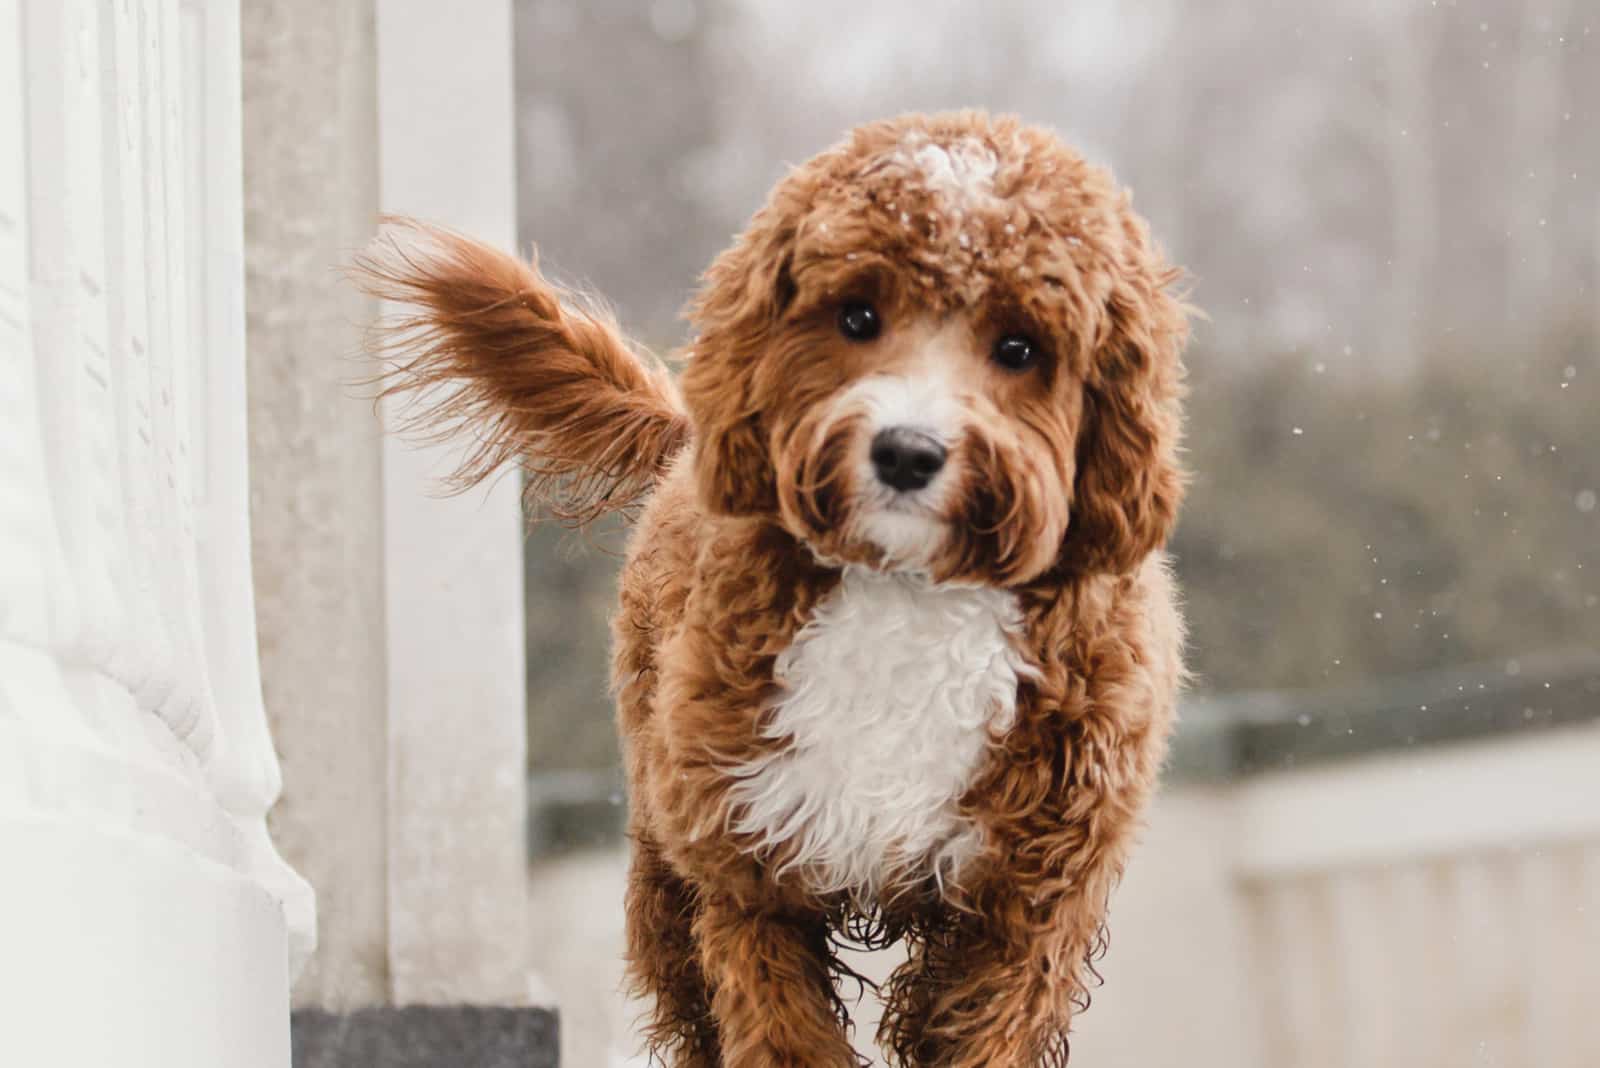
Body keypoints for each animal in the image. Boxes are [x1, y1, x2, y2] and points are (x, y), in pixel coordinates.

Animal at [360, 110, 1190, 1068]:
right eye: (857, 314)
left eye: (1020, 347)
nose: (907, 451)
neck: (905, 591)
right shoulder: (749, 869)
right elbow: (780, 1029)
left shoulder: (1019, 911)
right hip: (666, 860)